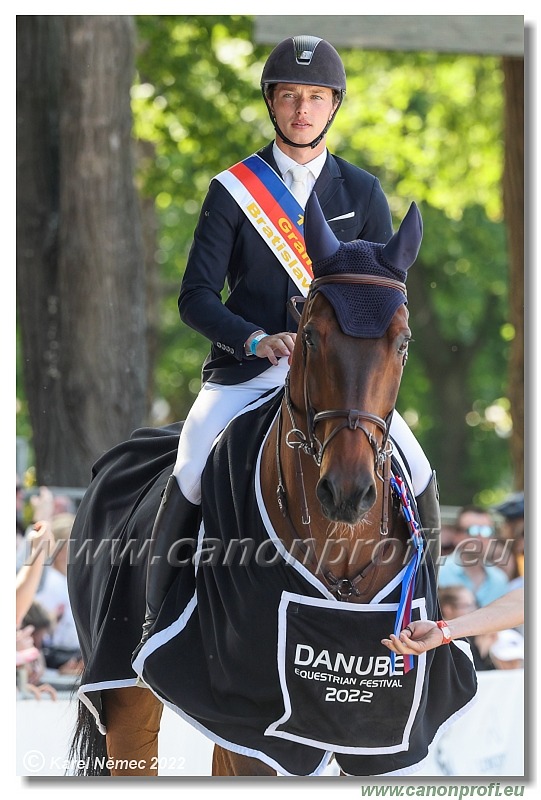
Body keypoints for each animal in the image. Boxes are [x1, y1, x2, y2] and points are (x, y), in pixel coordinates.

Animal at [67, 197, 476, 780]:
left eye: (403, 341)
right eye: (309, 334)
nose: (347, 491)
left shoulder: (370, 731)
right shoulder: (243, 711)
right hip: (126, 690)